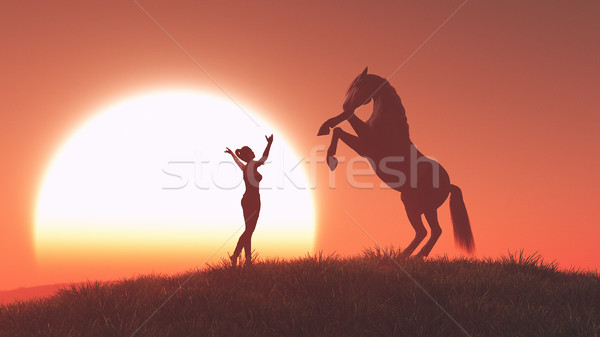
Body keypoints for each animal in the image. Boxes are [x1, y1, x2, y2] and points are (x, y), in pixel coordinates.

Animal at [318, 67, 474, 256]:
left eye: (358, 84)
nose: (345, 104)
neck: (388, 123)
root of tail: (449, 185)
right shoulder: (363, 147)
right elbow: (340, 130)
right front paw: (327, 137)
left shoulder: (366, 144)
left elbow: (344, 125)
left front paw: (329, 152)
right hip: (422, 208)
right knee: (430, 231)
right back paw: (412, 256)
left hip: (417, 206)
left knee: (428, 231)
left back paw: (410, 256)